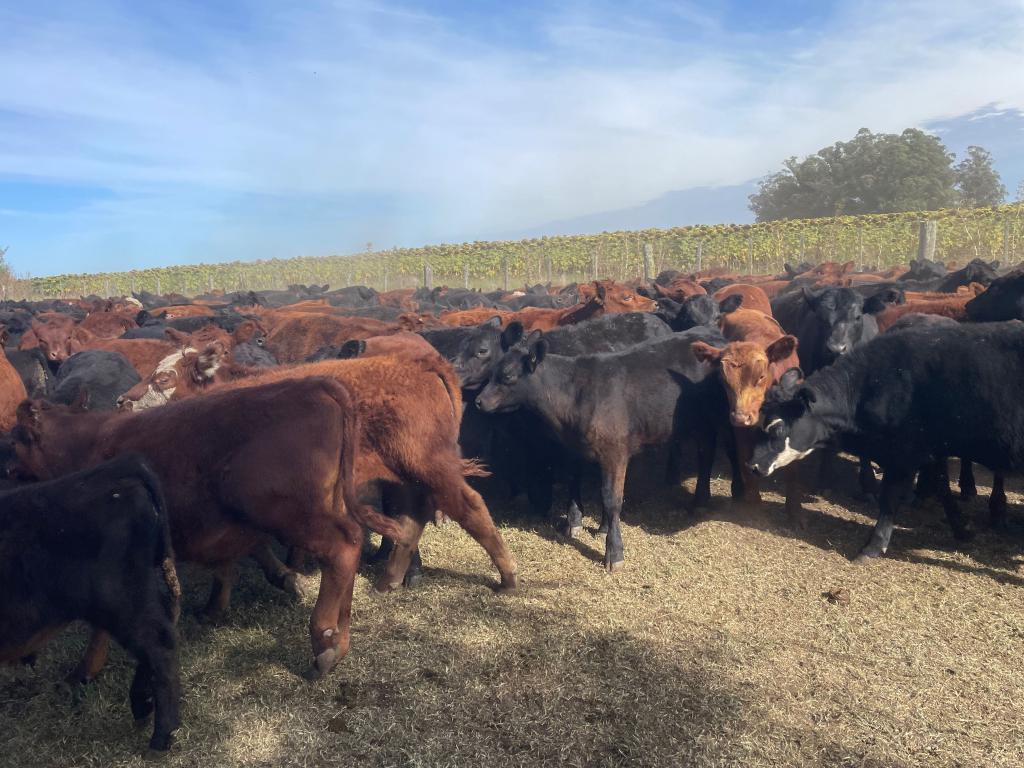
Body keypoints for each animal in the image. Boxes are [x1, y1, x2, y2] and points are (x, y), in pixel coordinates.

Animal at [14, 377, 403, 680]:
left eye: (14, 440)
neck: (87, 443)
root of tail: (316, 384)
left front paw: (85, 670)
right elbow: (227, 563)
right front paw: (216, 607)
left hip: (288, 513)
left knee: (343, 547)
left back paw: (325, 641)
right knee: (350, 547)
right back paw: (340, 636)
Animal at [749, 321, 1024, 561]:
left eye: (777, 428)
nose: (752, 465)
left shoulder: (902, 453)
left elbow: (889, 499)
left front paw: (873, 546)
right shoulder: (931, 451)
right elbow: (944, 490)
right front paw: (962, 530)